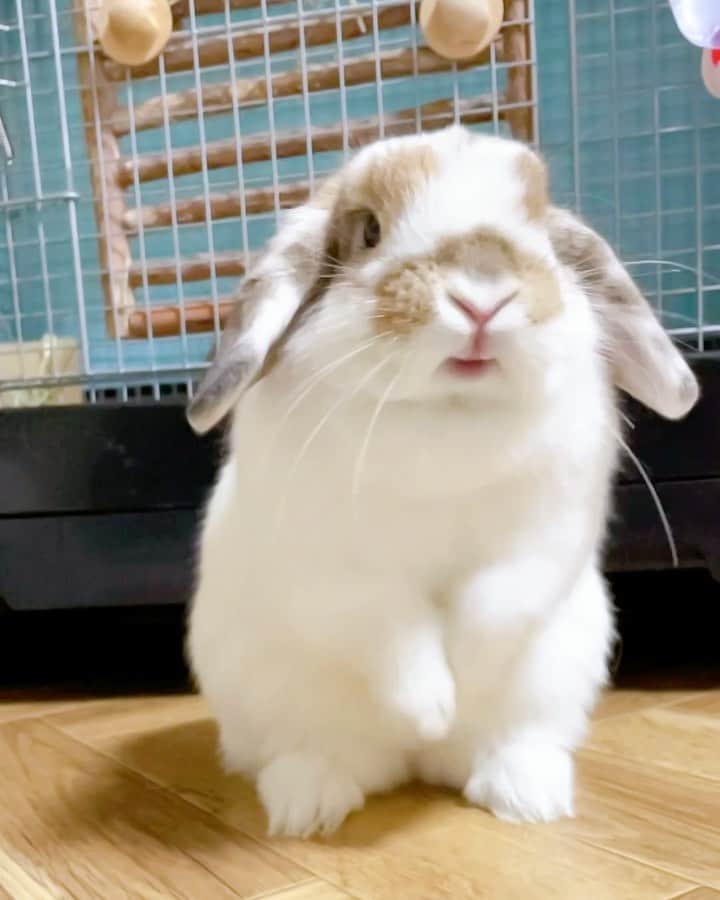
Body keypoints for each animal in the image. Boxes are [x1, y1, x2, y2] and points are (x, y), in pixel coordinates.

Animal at [186, 126, 699, 838]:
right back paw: (311, 802)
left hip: (559, 675)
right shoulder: (330, 566)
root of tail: (412, 767)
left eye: (538, 229)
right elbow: (389, 626)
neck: (448, 415)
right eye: (369, 230)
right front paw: (432, 706)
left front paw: (469, 676)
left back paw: (525, 794)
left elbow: (495, 605)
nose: (483, 297)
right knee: (303, 750)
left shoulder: (544, 540)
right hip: (261, 692)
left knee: (517, 738)